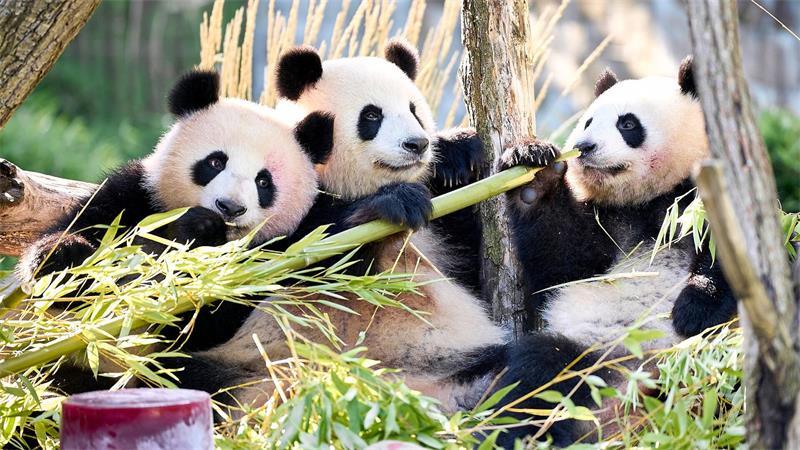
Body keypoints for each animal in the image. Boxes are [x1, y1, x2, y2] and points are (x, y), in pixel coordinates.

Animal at [16, 70, 334, 393]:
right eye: (215, 162)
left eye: (264, 182)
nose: (229, 207)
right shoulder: (135, 198)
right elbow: (76, 259)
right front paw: (62, 256)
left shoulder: (276, 257)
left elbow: (204, 319)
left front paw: (200, 237)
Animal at [162, 40, 507, 414]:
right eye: (371, 115)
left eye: (414, 110)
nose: (417, 144)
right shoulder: (293, 215)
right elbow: (324, 263)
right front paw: (393, 204)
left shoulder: (442, 232)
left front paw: (461, 155)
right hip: (247, 372)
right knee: (189, 374)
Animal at [484, 56, 738, 447]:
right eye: (588, 120)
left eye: (628, 123)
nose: (584, 146)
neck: (649, 200)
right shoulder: (608, 223)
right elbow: (567, 261)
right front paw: (535, 173)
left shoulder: (703, 195)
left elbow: (730, 259)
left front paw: (694, 309)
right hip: (590, 354)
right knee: (538, 375)